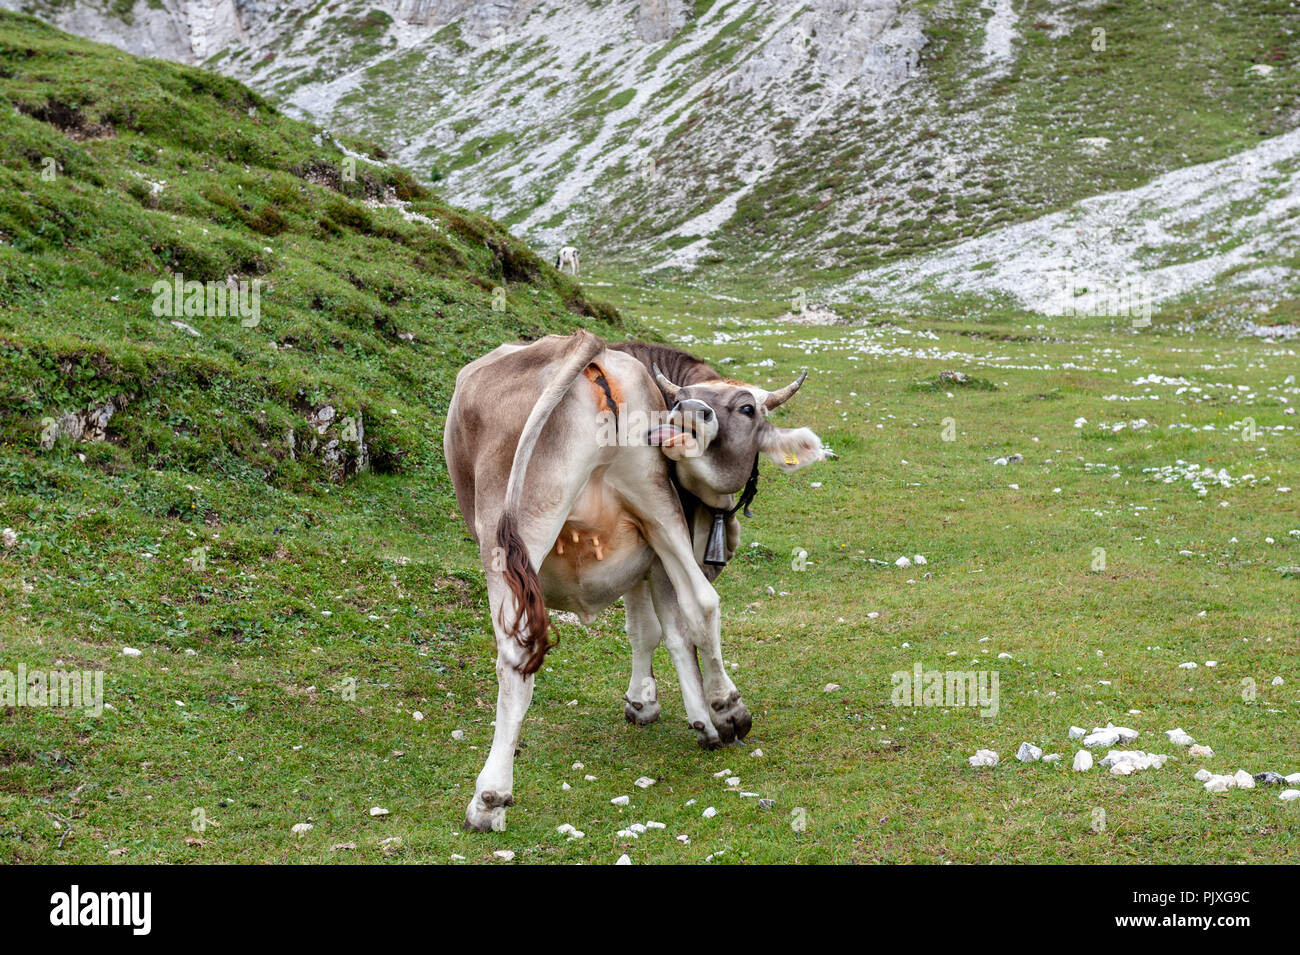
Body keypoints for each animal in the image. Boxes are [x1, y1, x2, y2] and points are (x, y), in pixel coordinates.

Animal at [441, 328, 816, 831]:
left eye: (747, 408)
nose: (689, 410)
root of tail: (584, 347)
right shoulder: (655, 554)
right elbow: (661, 627)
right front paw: (667, 706)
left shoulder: (644, 550)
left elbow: (651, 628)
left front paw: (651, 703)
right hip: (636, 508)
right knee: (700, 603)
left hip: (548, 522)